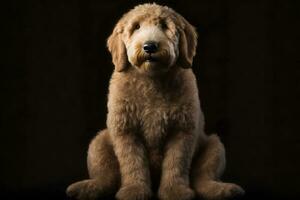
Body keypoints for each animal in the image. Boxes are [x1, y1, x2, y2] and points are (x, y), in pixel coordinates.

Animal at [65, 3, 244, 200]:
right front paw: (134, 190)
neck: (152, 79)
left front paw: (175, 191)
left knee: (203, 177)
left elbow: (176, 163)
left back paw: (222, 189)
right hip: (98, 143)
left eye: (165, 26)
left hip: (214, 146)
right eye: (136, 27)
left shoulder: (182, 130)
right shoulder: (125, 130)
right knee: (106, 177)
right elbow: (132, 163)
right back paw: (86, 187)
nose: (149, 46)